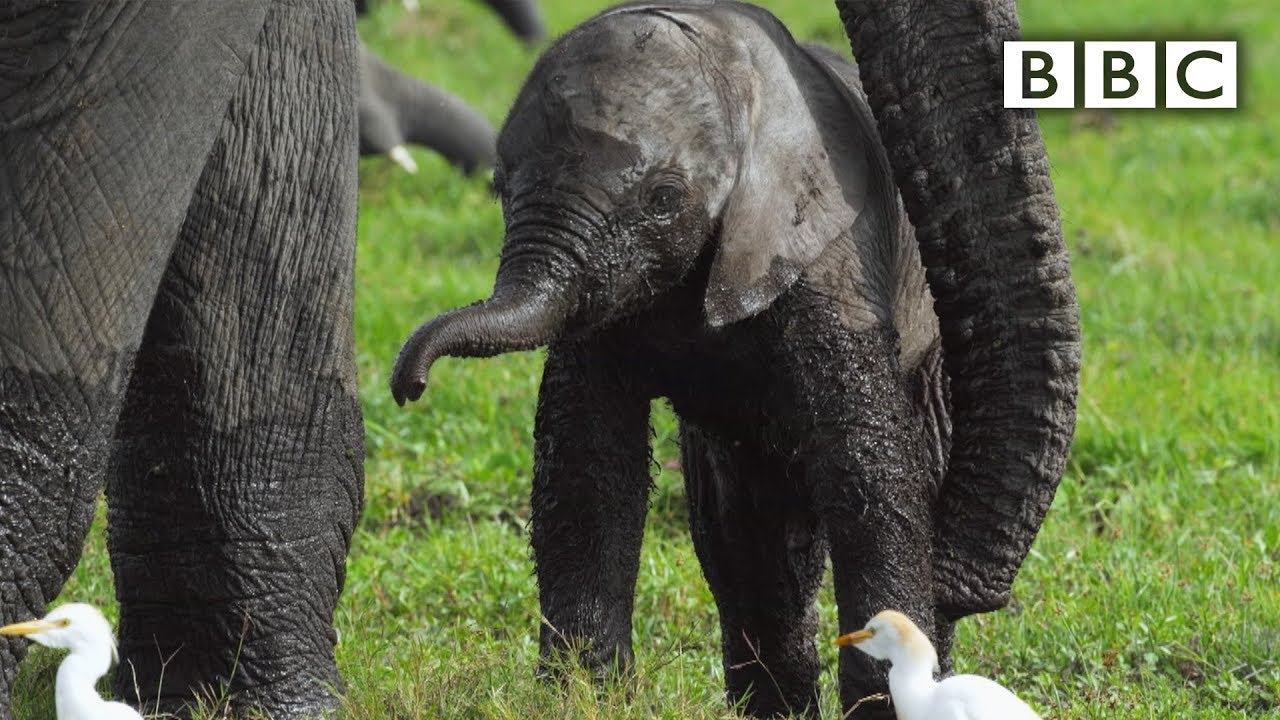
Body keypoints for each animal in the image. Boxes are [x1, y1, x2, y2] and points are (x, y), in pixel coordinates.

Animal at [389, 1, 1081, 718]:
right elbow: (587, 464)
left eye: (663, 199)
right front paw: (584, 698)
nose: (409, 382)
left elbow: (868, 470)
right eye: (499, 186)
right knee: (745, 543)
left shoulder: (831, 260)